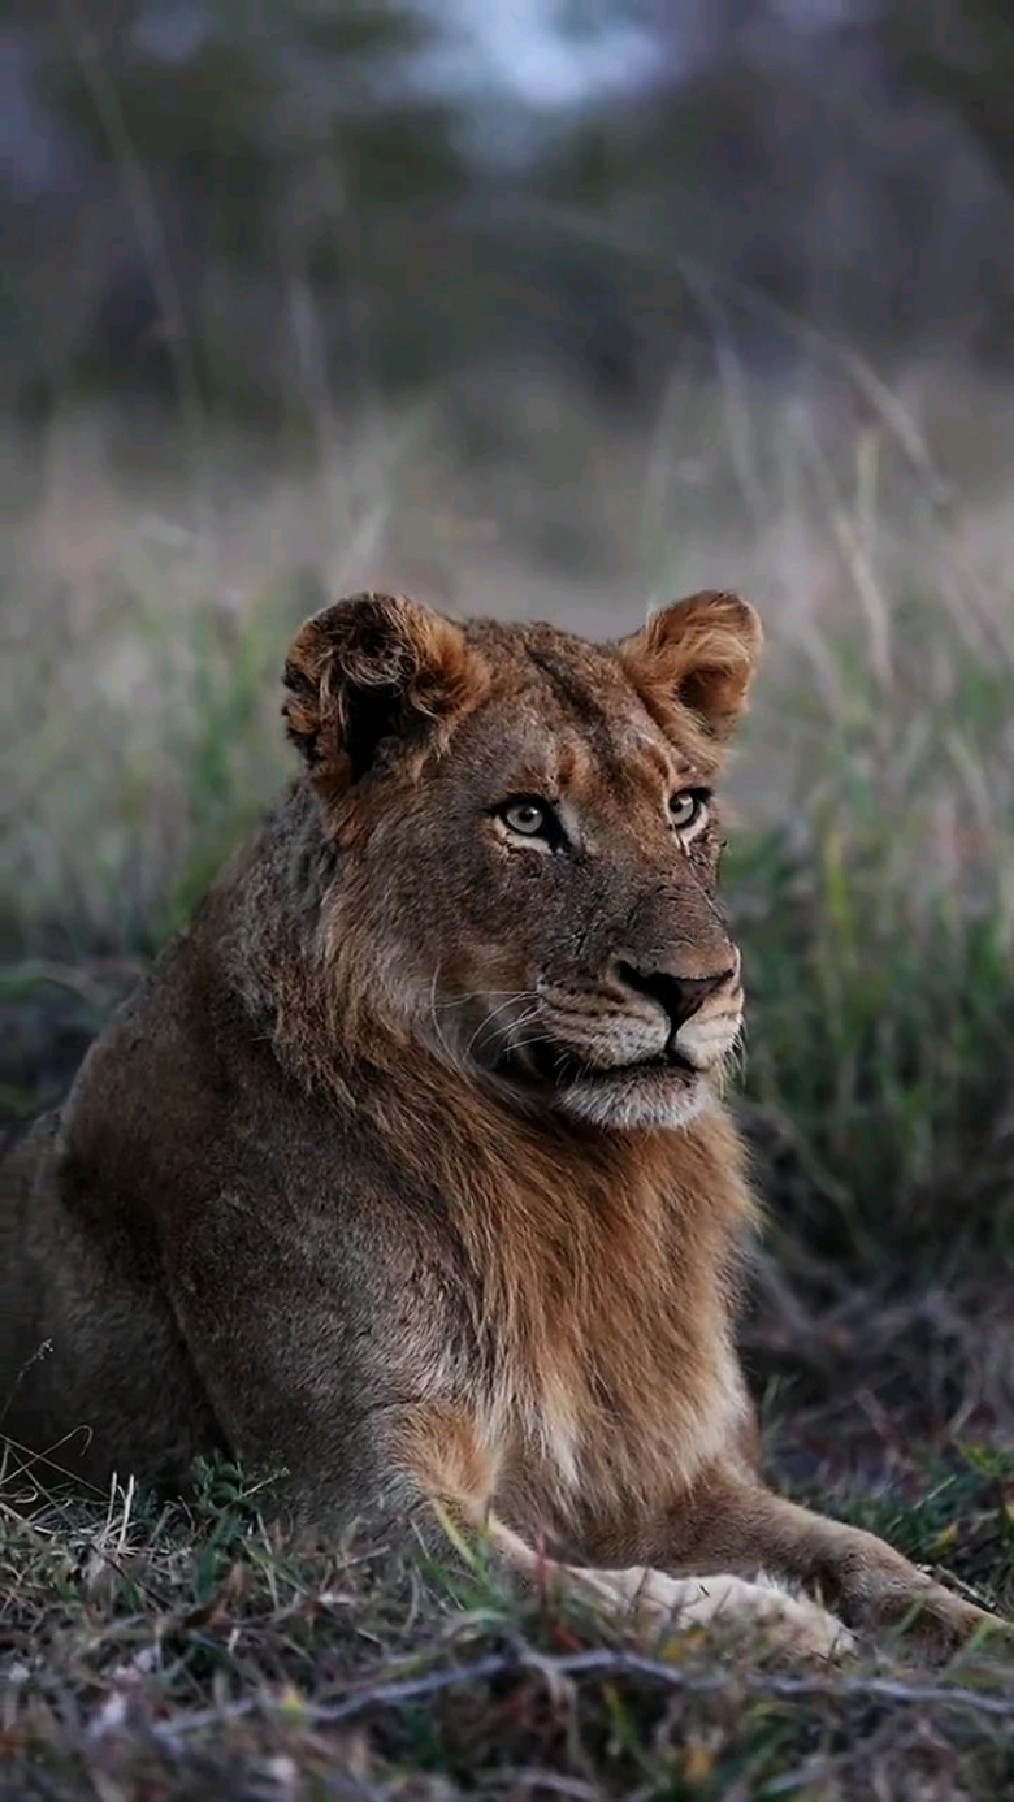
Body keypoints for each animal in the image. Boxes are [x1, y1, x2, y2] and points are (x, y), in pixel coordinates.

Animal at [0, 594, 1001, 1657]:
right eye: (528, 818)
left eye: (683, 807)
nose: (696, 986)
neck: (570, 1176)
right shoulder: (345, 1512)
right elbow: (574, 1592)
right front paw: (772, 1626)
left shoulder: (660, 1471)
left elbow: (864, 1553)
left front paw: (976, 1639)